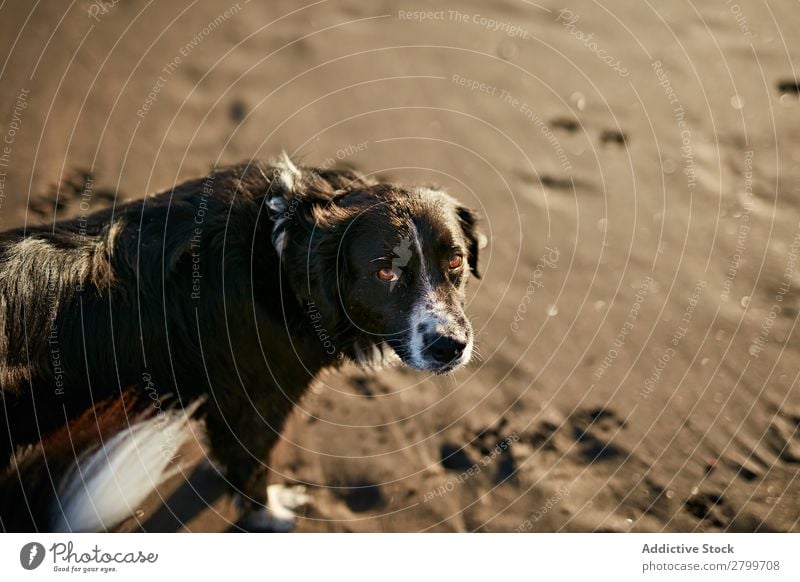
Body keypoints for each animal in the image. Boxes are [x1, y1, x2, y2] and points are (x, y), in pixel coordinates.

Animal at [0, 155, 482, 532]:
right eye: (386, 272)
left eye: (455, 260)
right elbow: (252, 467)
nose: (449, 346)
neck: (285, 256)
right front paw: (266, 514)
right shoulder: (258, 402)